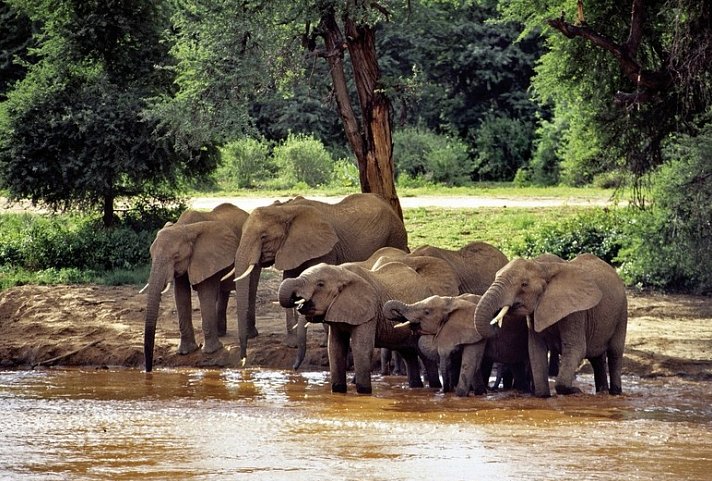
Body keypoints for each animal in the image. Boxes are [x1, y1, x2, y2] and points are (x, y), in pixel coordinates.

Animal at [142, 202, 248, 372]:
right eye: (151, 255)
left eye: (176, 256)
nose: (149, 370)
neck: (184, 228)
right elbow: (181, 294)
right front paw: (186, 352)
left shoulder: (206, 256)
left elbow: (205, 293)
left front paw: (211, 351)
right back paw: (221, 333)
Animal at [229, 193, 406, 362]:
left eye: (264, 237)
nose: (243, 358)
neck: (286, 209)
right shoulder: (292, 248)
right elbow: (288, 280)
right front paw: (292, 344)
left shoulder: (326, 248)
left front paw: (324, 343)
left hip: (395, 235)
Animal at [278, 258, 456, 394]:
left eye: (320, 284)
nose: (294, 369)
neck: (342, 272)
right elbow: (335, 349)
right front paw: (338, 392)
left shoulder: (369, 312)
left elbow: (361, 348)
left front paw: (363, 392)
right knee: (408, 355)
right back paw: (416, 388)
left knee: (424, 355)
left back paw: (434, 388)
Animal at [384, 290, 528, 396]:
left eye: (427, 312)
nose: (443, 391)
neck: (452, 301)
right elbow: (473, 365)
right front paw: (480, 393)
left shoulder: (475, 332)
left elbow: (469, 363)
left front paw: (459, 395)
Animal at [476, 253, 624, 396]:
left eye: (524, 284)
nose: (497, 322)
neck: (543, 266)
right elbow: (536, 350)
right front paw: (543, 395)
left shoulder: (576, 312)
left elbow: (575, 349)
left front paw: (575, 391)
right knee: (597, 358)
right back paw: (602, 391)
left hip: (622, 313)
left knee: (614, 352)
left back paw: (615, 392)